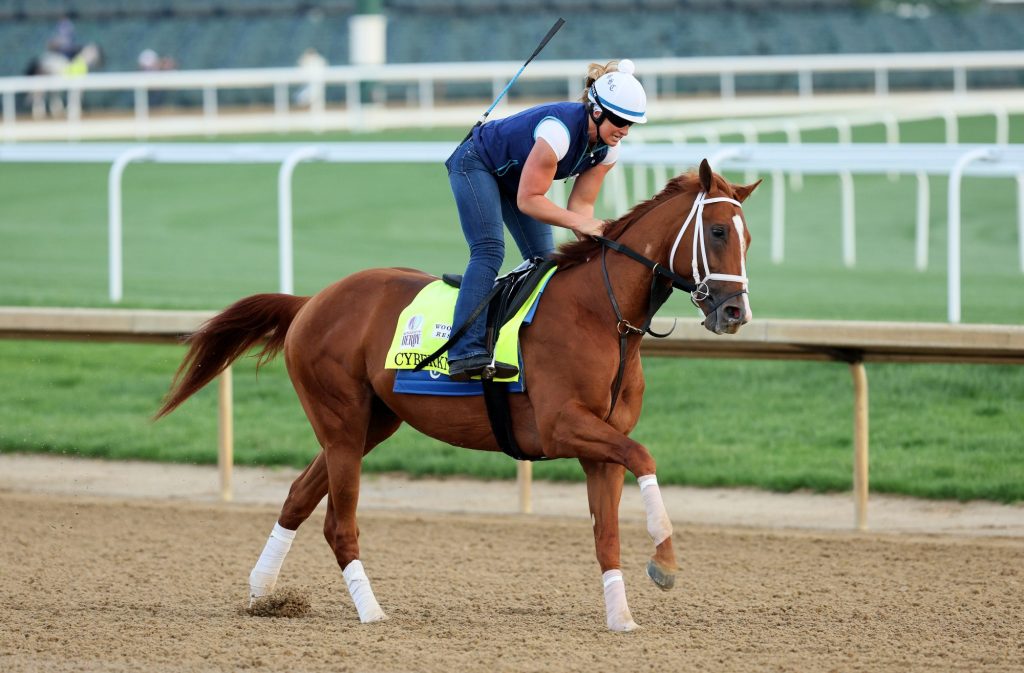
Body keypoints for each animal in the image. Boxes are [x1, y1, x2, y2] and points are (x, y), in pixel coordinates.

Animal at [153, 158, 761, 631]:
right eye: (717, 233)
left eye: (748, 238)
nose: (735, 312)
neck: (599, 313)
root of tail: (310, 301)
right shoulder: (563, 426)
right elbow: (645, 456)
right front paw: (665, 561)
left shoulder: (600, 445)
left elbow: (606, 531)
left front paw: (621, 617)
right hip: (342, 423)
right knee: (337, 523)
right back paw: (370, 612)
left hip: (371, 424)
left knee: (299, 497)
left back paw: (262, 592)